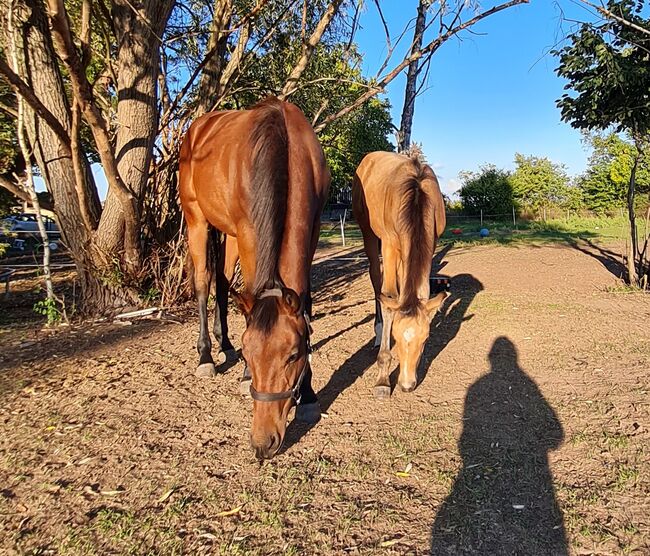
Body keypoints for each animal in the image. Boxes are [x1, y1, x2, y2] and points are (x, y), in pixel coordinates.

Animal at [178, 96, 326, 460]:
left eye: (293, 355)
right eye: (250, 354)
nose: (262, 443)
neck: (286, 145)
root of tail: (196, 129)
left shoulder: (313, 228)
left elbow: (306, 304)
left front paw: (309, 394)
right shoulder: (248, 232)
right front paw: (245, 373)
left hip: (227, 233)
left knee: (220, 281)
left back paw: (224, 343)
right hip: (197, 220)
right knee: (203, 282)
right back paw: (206, 355)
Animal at [352, 150, 448, 398]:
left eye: (425, 339)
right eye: (395, 336)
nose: (406, 385)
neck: (416, 194)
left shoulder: (429, 243)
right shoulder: (389, 244)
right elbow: (388, 297)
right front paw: (383, 380)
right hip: (370, 236)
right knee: (376, 281)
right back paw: (377, 333)